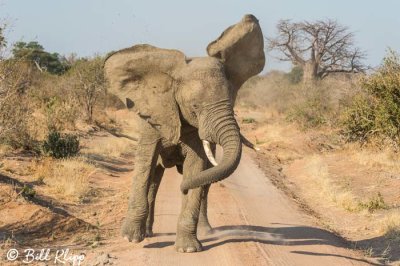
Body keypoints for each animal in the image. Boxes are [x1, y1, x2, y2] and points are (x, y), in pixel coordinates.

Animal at [104, 14, 264, 251]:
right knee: (154, 179)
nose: (182, 189)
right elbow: (144, 165)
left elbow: (196, 168)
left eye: (232, 100)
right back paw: (148, 232)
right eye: (195, 106)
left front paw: (188, 248)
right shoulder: (153, 120)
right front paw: (130, 238)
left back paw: (205, 230)